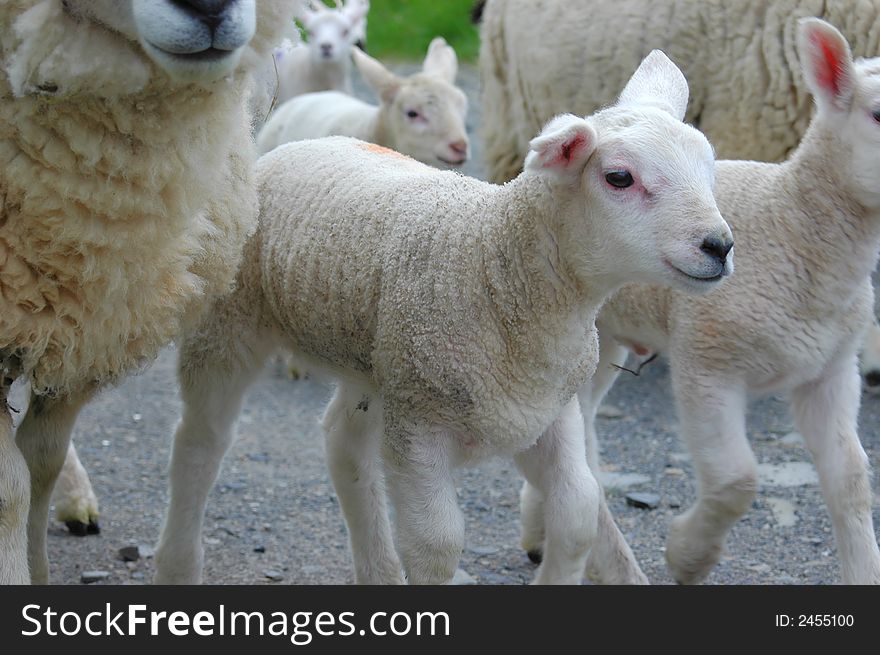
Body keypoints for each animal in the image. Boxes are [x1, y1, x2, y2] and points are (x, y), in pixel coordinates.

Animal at [153, 51, 736, 584]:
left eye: (709, 168)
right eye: (618, 177)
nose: (720, 246)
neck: (496, 267)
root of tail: (284, 148)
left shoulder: (544, 411)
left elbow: (577, 514)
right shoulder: (420, 431)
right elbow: (436, 545)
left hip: (378, 363)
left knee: (343, 443)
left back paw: (378, 572)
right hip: (229, 326)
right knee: (199, 443)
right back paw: (179, 564)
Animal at [524, 19, 880, 584]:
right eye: (877, 114)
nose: (719, 248)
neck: (792, 228)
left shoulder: (831, 369)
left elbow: (850, 478)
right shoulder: (708, 364)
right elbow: (737, 479)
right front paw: (688, 555)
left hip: (606, 345)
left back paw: (539, 535)